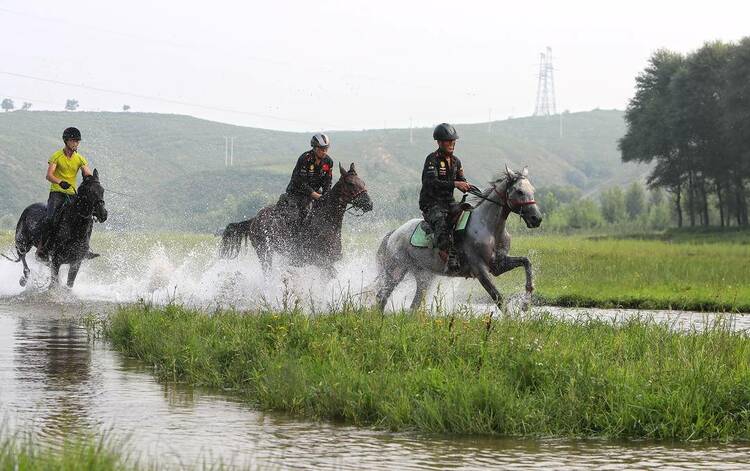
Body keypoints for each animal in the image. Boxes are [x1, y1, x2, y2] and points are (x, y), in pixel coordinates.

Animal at [223, 162, 376, 276]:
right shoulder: (320, 261)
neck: (326, 222)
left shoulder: (329, 262)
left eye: (362, 182)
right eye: (350, 184)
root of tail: (254, 219)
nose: (369, 204)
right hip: (264, 252)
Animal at [376, 164, 548, 312]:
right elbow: (498, 297)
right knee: (382, 296)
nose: (536, 219)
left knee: (413, 304)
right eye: (519, 191)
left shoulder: (498, 265)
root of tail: (394, 233)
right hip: (396, 271)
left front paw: (526, 303)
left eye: (532, 190)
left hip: (424, 276)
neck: (490, 228)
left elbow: (526, 262)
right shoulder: (480, 270)